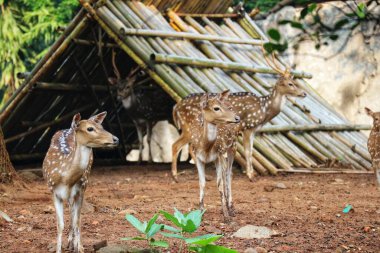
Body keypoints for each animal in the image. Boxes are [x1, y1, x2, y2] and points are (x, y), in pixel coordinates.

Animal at [42, 112, 118, 253]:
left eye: (102, 126)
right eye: (90, 128)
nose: (116, 139)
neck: (66, 179)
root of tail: (70, 128)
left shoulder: (80, 190)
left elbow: (77, 221)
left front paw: (79, 248)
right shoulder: (53, 191)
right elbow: (60, 224)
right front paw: (60, 249)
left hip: (84, 184)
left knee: (76, 216)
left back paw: (74, 243)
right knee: (71, 211)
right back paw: (70, 242)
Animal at [171, 50, 306, 180]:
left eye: (296, 81)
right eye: (290, 83)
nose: (304, 93)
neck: (264, 109)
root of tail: (176, 107)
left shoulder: (253, 130)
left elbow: (251, 150)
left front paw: (252, 173)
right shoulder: (247, 127)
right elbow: (248, 151)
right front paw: (250, 175)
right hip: (190, 127)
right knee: (176, 145)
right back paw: (176, 176)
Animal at [173, 90, 239, 220]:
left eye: (227, 107)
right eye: (216, 108)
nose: (237, 118)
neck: (206, 147)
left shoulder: (218, 155)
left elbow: (219, 183)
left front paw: (226, 215)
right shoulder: (198, 157)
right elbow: (202, 182)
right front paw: (200, 211)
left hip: (232, 147)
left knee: (229, 174)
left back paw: (231, 207)